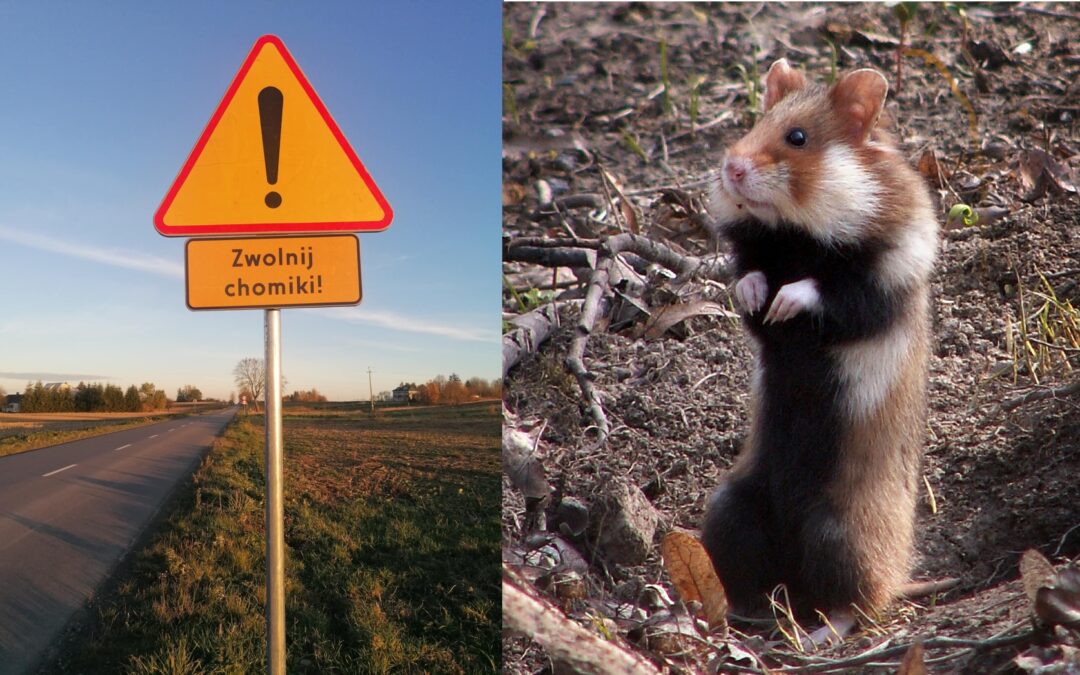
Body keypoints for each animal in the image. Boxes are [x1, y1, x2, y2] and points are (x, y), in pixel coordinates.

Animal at [699, 59, 937, 626]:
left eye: (798, 137)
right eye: (755, 123)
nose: (731, 168)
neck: (798, 232)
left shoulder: (882, 284)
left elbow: (826, 290)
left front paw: (787, 299)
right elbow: (751, 281)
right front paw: (757, 292)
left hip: (840, 532)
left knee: (855, 603)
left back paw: (817, 631)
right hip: (730, 508)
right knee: (750, 579)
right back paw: (738, 614)